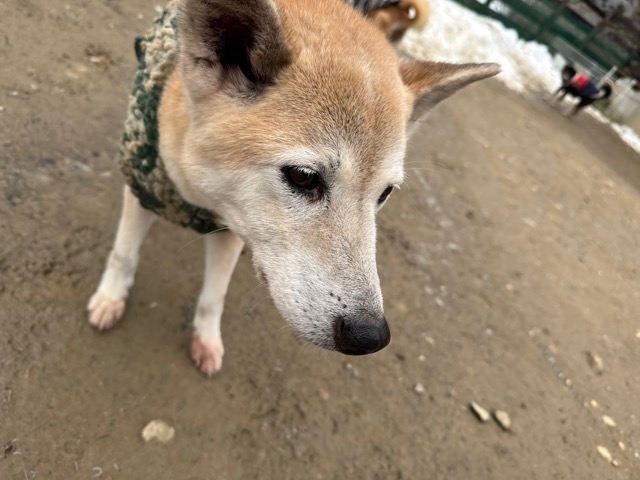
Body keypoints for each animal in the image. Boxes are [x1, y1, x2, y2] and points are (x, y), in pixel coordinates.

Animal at [88, 0, 499, 376]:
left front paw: (206, 339)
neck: (199, 191)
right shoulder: (143, 188)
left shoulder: (234, 227)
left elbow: (213, 296)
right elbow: (124, 254)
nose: (369, 336)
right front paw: (110, 298)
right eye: (303, 177)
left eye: (384, 194)